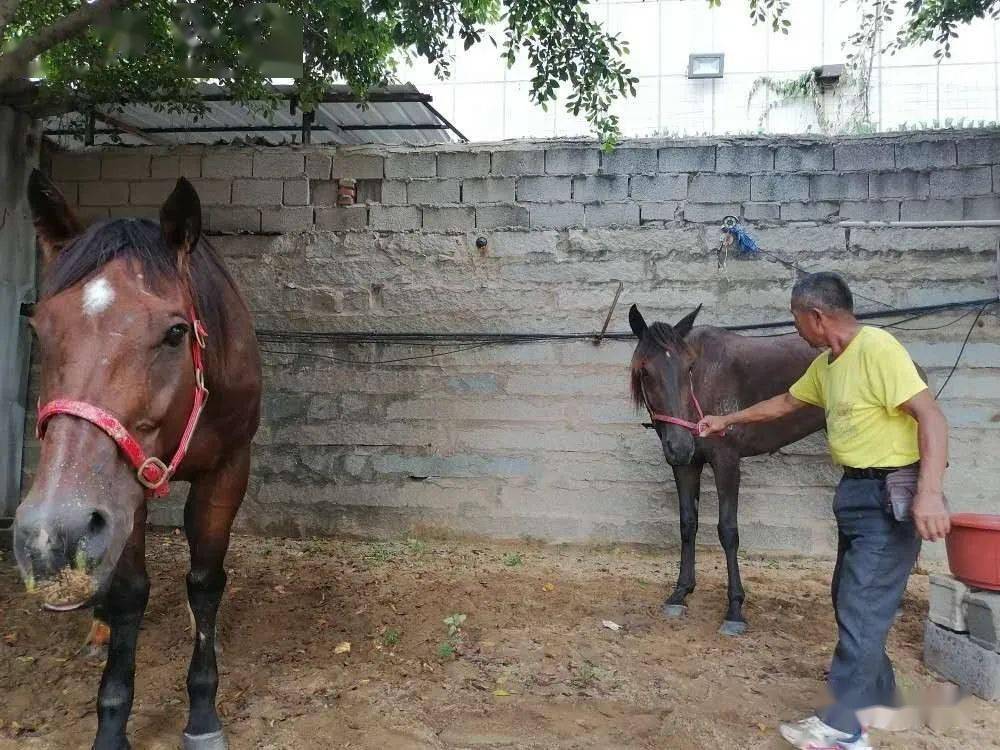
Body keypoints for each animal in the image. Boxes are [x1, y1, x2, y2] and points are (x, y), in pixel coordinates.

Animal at [12, 170, 261, 750]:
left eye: (175, 331)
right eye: (39, 329)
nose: (48, 533)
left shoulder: (227, 472)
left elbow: (205, 582)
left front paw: (202, 715)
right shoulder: (120, 496)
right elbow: (128, 593)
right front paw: (111, 725)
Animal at [628, 303, 825, 636]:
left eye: (689, 368)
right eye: (645, 370)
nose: (680, 445)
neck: (704, 387)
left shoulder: (727, 463)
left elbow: (728, 531)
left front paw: (735, 609)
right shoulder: (686, 466)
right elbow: (687, 524)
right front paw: (680, 593)